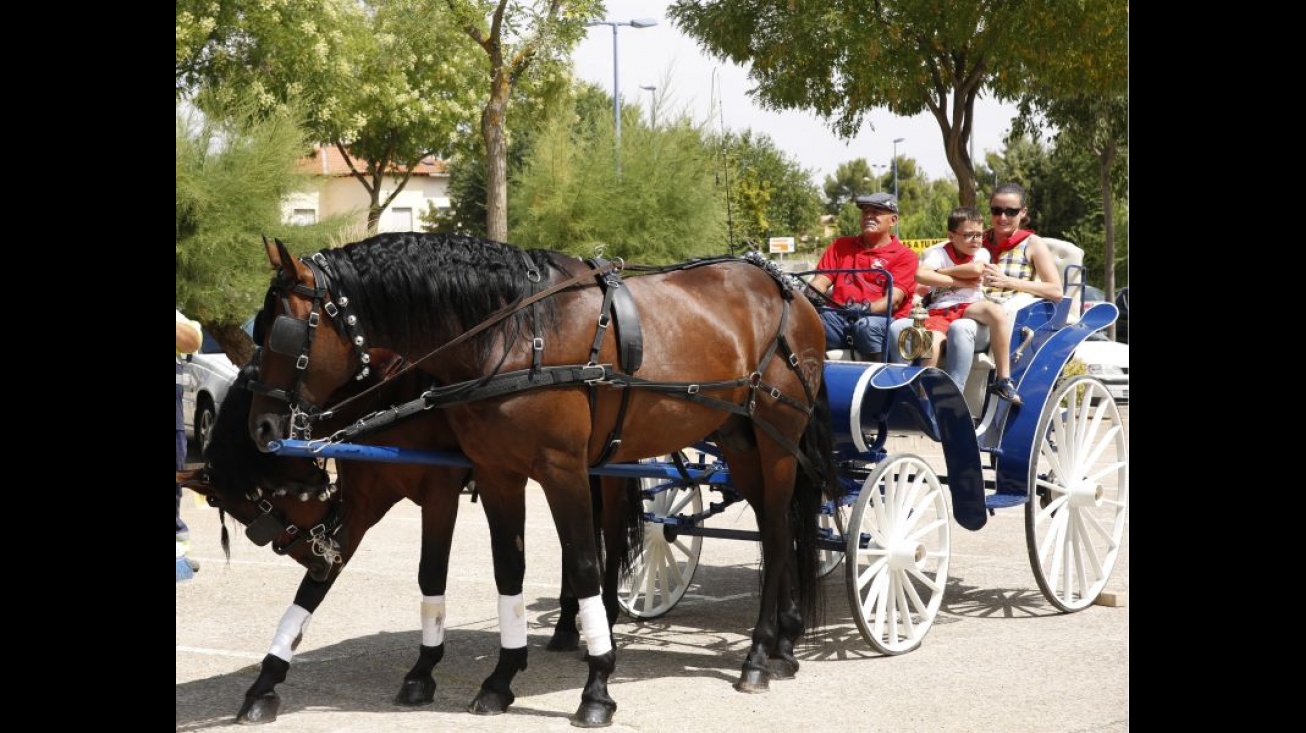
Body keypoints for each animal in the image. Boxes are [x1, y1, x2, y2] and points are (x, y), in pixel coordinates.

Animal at [177, 352, 637, 721]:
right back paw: (566, 626)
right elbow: (312, 592)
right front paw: (265, 682)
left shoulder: (439, 489)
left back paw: (607, 618)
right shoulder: (362, 504)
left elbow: (431, 573)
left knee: (610, 537)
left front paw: (422, 671)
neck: (389, 391)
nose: (314, 555)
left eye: (263, 503)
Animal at [245, 232, 835, 726]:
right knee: (778, 528)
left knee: (777, 534)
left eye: (284, 332)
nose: (263, 427)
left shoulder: (559, 470)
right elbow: (508, 569)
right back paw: (781, 645)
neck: (517, 334)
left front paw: (597, 687)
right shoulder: (496, 474)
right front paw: (501, 679)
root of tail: (787, 287)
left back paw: (759, 655)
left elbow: (583, 565)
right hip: (740, 442)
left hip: (777, 443)